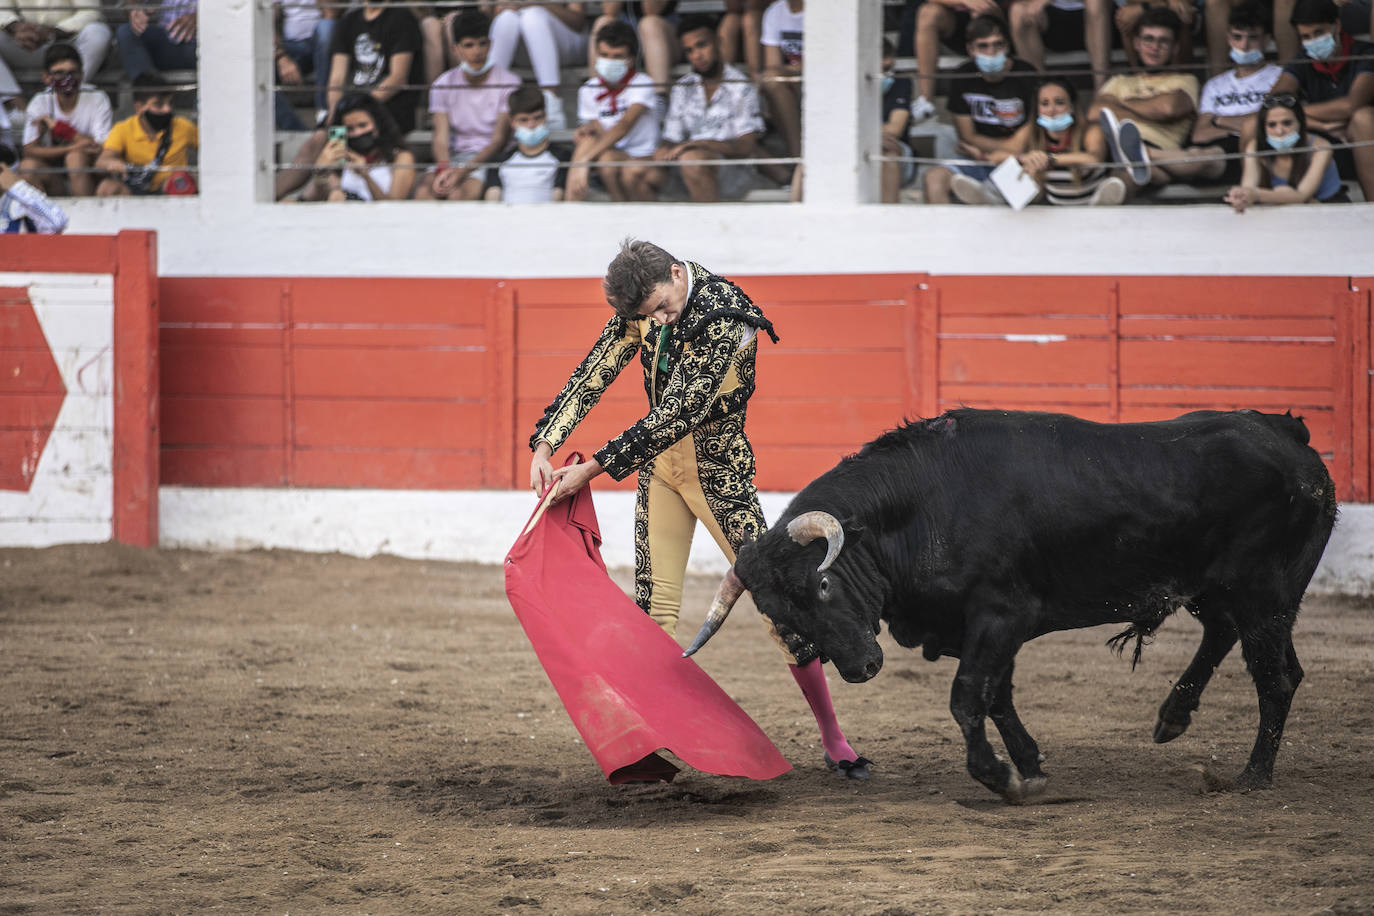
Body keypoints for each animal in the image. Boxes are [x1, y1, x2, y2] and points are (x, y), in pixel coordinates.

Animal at [684, 409, 1330, 802]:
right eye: (782, 616)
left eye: (820, 587)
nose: (862, 668)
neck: (923, 505)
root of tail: (1288, 436)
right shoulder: (989, 628)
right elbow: (998, 696)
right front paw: (1032, 766)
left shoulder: (1000, 616)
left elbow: (969, 695)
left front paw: (999, 776)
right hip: (1218, 589)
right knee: (1229, 638)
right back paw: (1174, 717)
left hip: (1264, 592)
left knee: (1275, 676)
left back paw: (1252, 775)